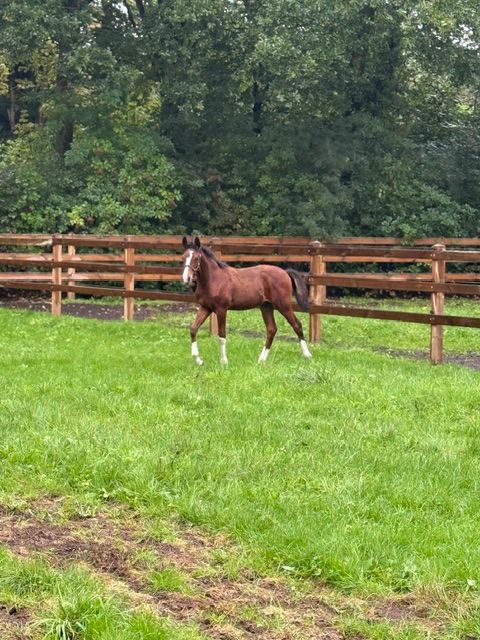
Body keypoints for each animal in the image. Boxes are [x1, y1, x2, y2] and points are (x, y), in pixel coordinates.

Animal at [181, 236, 312, 365]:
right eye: (183, 257)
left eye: (196, 258)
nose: (187, 278)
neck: (213, 279)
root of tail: (285, 272)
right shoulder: (206, 308)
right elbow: (193, 329)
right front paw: (198, 360)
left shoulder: (221, 309)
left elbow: (222, 335)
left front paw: (224, 362)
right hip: (266, 307)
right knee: (271, 329)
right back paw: (261, 360)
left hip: (283, 305)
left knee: (296, 324)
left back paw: (307, 355)